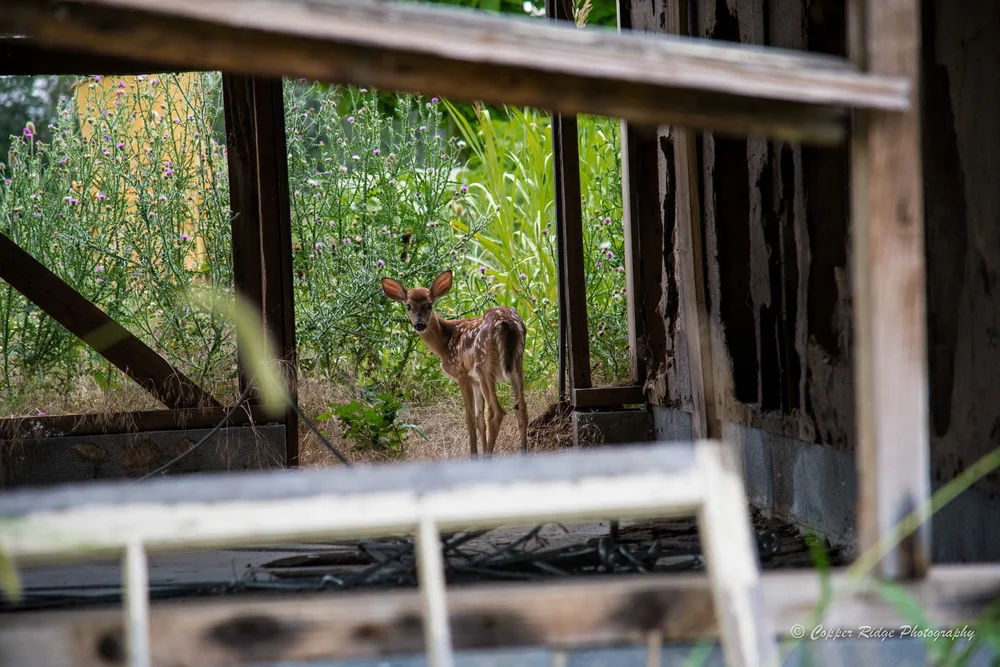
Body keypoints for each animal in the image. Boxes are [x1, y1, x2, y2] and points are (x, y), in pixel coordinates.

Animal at [380, 270, 528, 458]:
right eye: (408, 306)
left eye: (429, 304)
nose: (419, 324)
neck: (444, 343)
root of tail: (506, 323)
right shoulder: (474, 380)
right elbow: (480, 419)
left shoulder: (461, 373)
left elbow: (470, 417)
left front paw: (474, 456)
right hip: (517, 363)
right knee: (521, 408)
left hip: (483, 366)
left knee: (497, 412)